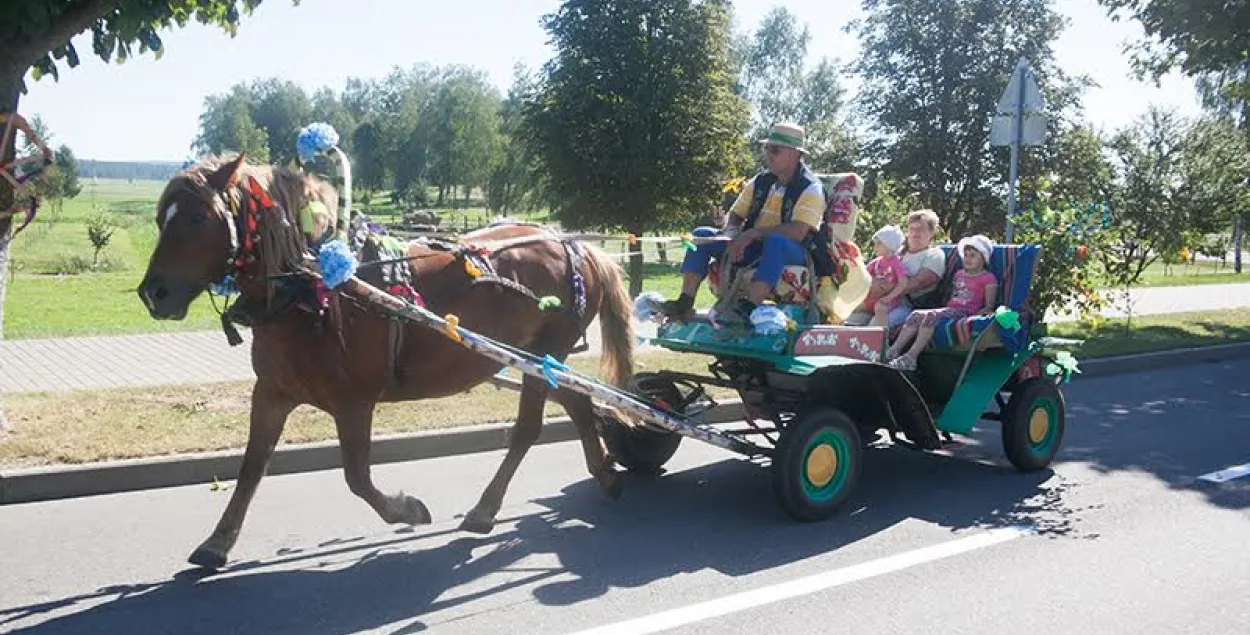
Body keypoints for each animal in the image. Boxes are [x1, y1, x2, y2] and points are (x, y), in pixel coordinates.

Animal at [141, 153, 640, 570]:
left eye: (198, 216)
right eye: (160, 218)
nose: (153, 293)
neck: (315, 287)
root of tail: (578, 246)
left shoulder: (354, 402)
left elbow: (357, 477)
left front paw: (407, 510)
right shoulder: (271, 393)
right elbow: (250, 470)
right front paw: (218, 541)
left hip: (543, 354)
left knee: (528, 430)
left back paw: (487, 507)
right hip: (546, 360)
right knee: (578, 405)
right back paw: (605, 475)